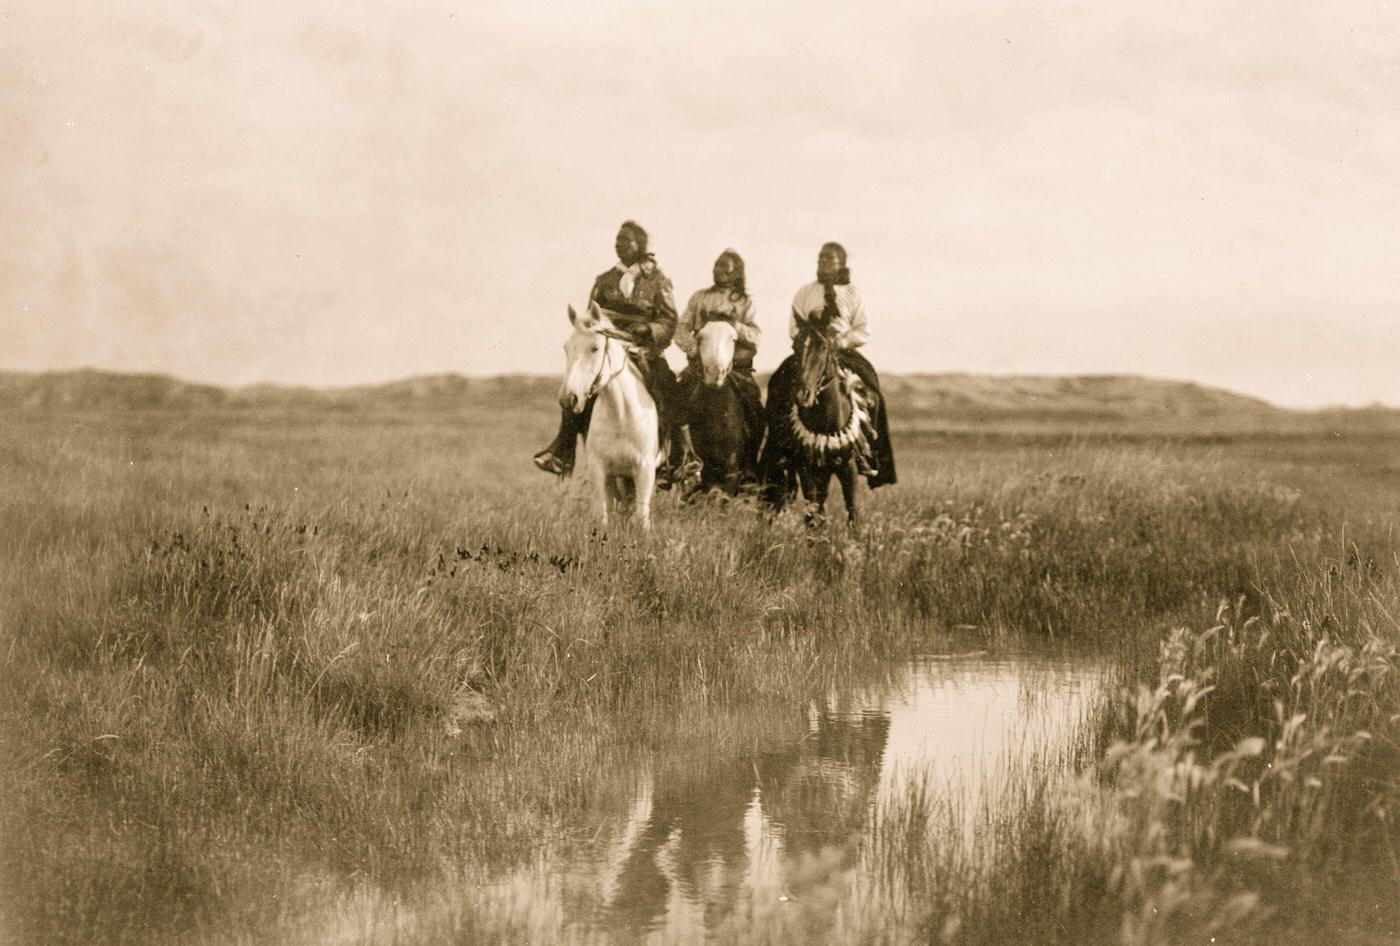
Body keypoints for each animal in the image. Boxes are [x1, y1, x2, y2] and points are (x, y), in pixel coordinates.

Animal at [557, 300, 660, 528]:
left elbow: (642, 517)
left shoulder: (645, 469)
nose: (568, 399)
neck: (620, 416)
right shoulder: (600, 470)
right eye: (566, 348)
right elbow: (602, 515)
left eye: (595, 347)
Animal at [761, 327, 879, 528]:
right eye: (796, 346)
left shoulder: (848, 468)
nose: (803, 395)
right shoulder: (806, 469)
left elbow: (852, 510)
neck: (826, 424)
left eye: (824, 347)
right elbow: (813, 511)